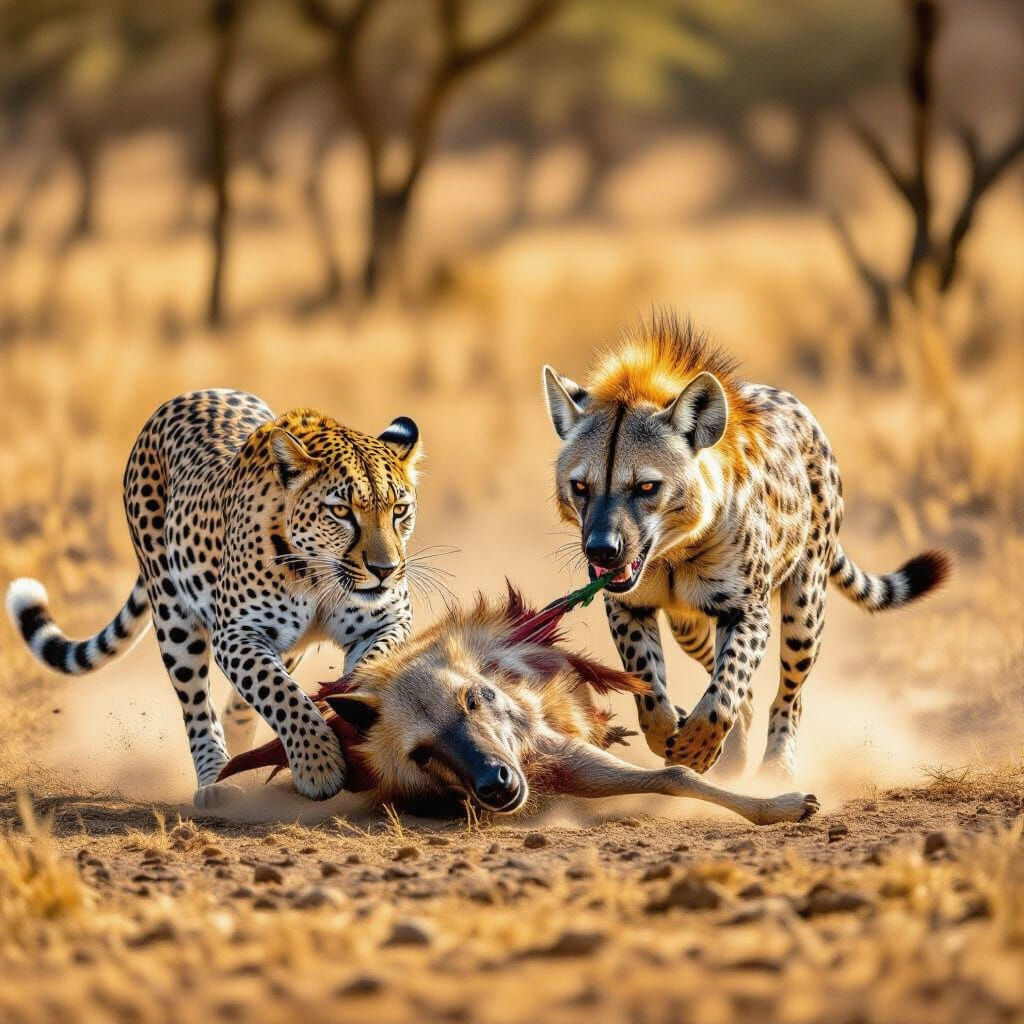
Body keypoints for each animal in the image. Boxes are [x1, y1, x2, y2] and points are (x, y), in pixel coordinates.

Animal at [6, 389, 424, 807]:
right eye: (340, 511)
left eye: (399, 510)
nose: (385, 569)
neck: (320, 577)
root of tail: (190, 395)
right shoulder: (236, 633)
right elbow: (280, 692)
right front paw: (317, 764)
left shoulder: (388, 620)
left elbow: (370, 662)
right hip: (173, 615)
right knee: (197, 707)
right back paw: (216, 781)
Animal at [542, 313, 951, 781]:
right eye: (580, 486)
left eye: (646, 487)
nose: (602, 550)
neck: (673, 554)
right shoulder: (628, 605)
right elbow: (649, 686)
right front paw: (672, 736)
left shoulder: (746, 611)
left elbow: (725, 692)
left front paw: (696, 748)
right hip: (689, 625)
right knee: (736, 685)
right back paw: (732, 751)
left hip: (805, 608)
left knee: (788, 695)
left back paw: (776, 768)